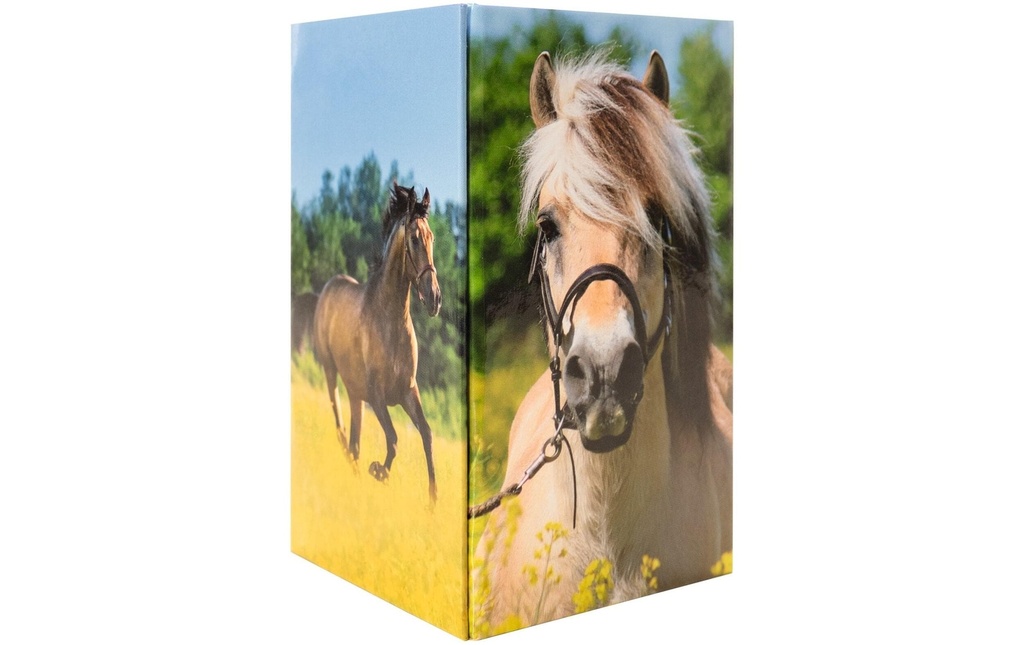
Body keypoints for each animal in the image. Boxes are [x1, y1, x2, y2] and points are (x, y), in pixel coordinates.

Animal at [312, 183, 442, 502]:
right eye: (414, 238)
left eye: (432, 237)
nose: (434, 299)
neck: (390, 321)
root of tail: (330, 285)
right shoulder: (377, 394)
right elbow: (393, 439)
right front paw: (379, 472)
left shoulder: (408, 391)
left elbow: (427, 434)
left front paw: (433, 500)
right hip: (331, 371)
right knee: (339, 420)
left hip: (355, 392)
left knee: (355, 438)